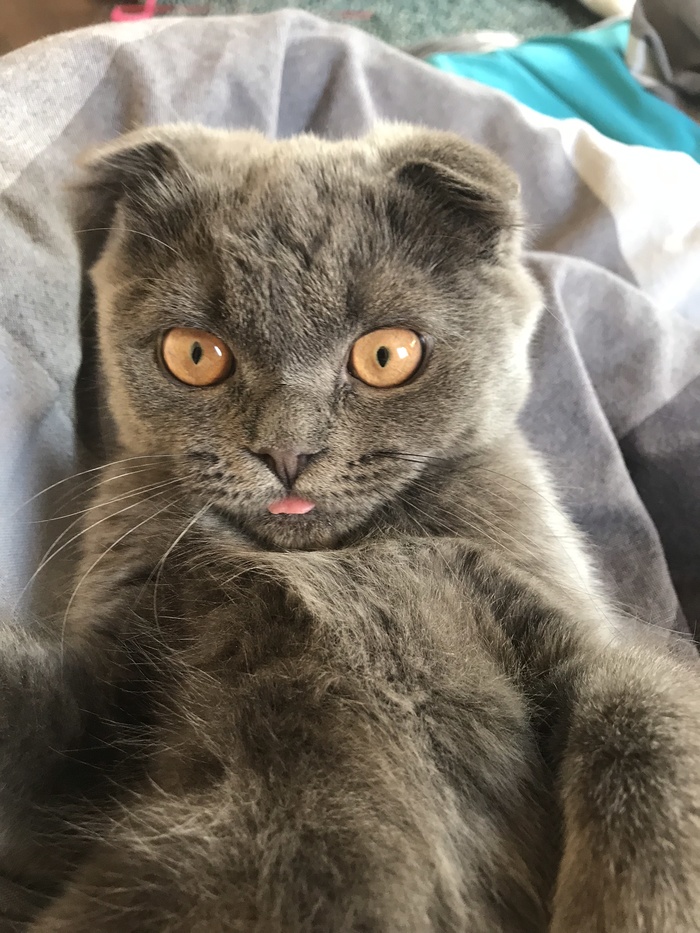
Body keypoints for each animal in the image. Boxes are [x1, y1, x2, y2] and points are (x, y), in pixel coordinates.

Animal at [0, 123, 698, 933]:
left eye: (386, 355)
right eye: (194, 353)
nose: (287, 452)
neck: (332, 557)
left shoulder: (581, 636)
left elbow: (646, 722)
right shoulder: (104, 704)